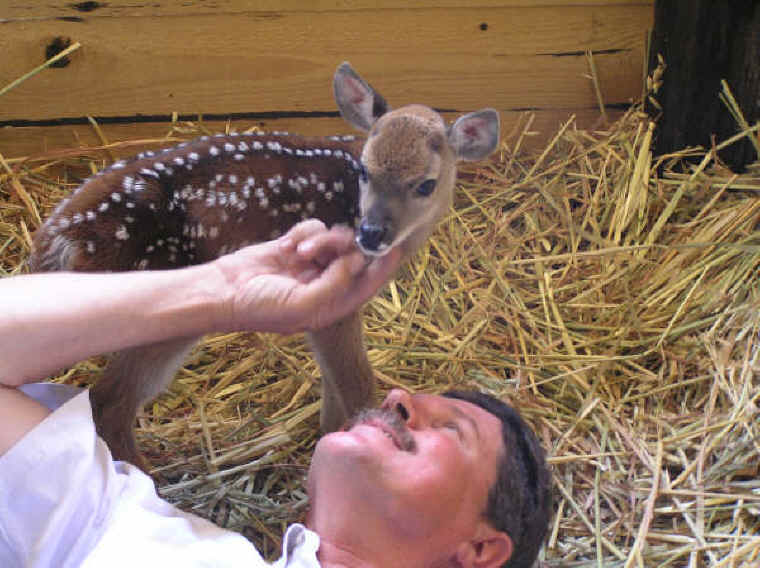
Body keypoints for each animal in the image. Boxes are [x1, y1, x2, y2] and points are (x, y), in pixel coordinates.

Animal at [28, 62, 500, 468]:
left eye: (426, 184)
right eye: (365, 171)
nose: (369, 234)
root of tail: (58, 236)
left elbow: (332, 386)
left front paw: (327, 440)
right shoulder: (338, 305)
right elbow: (357, 384)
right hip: (158, 309)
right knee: (108, 400)